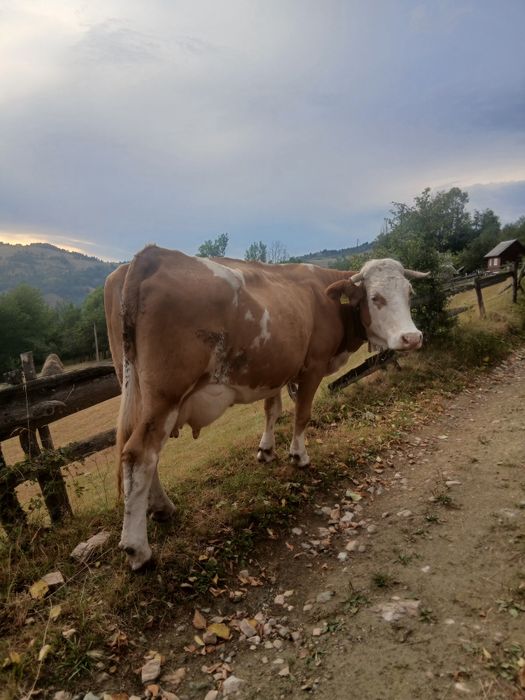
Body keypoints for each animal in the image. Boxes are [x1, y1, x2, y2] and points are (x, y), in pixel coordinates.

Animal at [104, 245, 427, 570]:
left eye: (410, 292)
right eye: (376, 298)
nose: (412, 338)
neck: (325, 299)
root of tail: (152, 254)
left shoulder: (275, 371)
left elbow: (272, 410)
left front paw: (266, 450)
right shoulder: (312, 367)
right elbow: (302, 415)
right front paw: (299, 456)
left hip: (138, 393)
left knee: (144, 455)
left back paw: (161, 507)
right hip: (165, 396)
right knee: (139, 455)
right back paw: (138, 549)